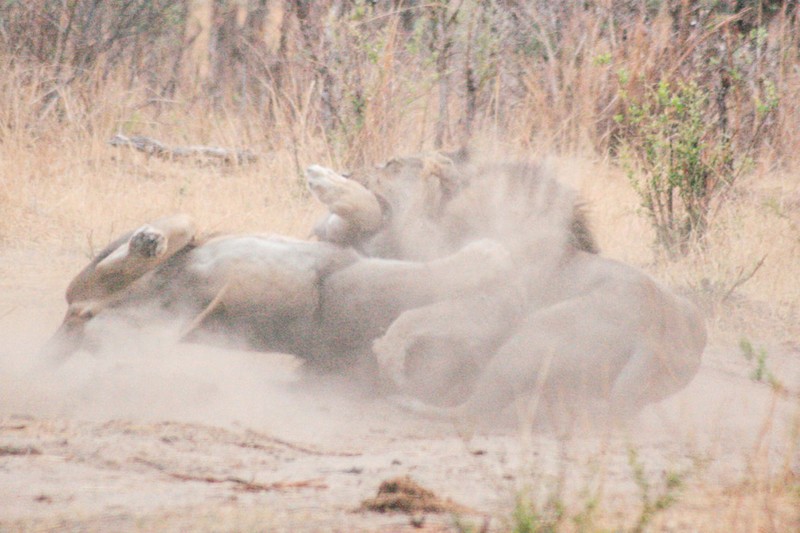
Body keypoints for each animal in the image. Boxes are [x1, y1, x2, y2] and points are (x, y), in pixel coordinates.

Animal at [304, 152, 708, 430]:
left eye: (391, 164)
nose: (346, 174)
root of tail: (655, 336)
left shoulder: (494, 310)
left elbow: (415, 316)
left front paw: (388, 353)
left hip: (533, 334)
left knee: (474, 410)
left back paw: (407, 403)